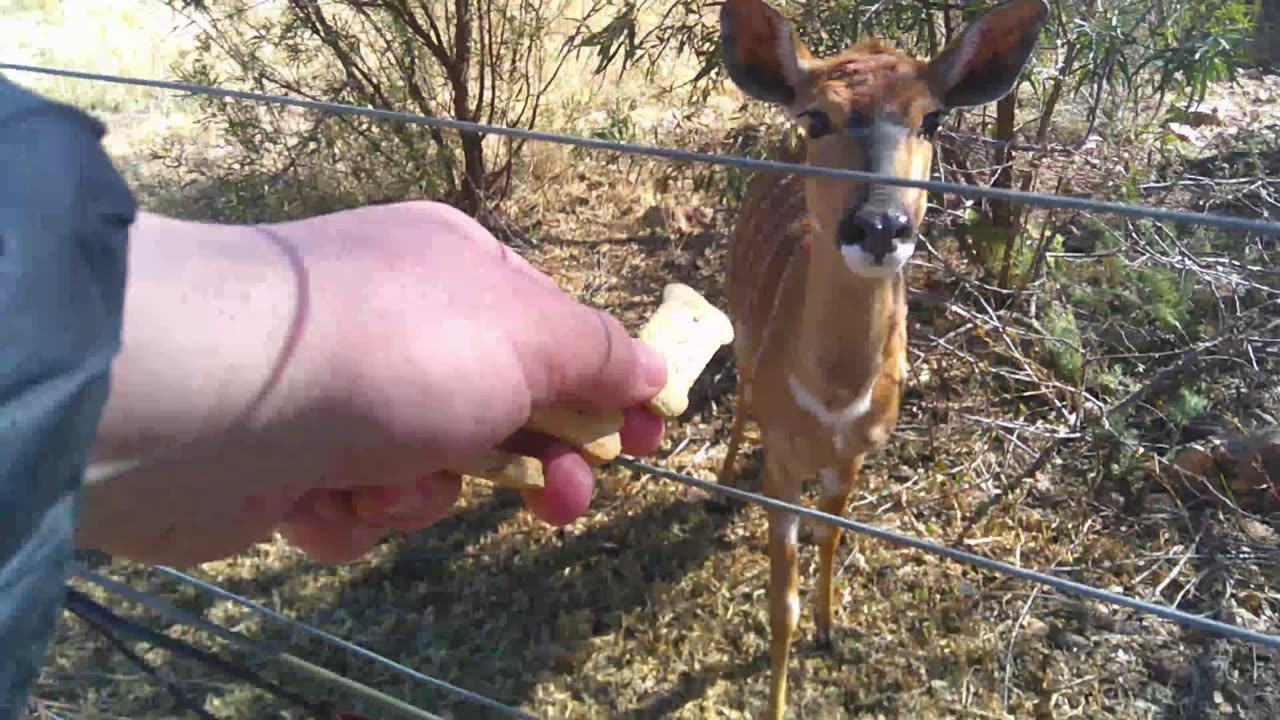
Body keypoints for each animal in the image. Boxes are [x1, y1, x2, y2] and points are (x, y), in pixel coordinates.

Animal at [716, 2, 1044, 712]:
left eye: (933, 118)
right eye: (817, 116)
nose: (880, 226)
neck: (837, 397)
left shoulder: (855, 457)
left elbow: (835, 537)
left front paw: (829, 628)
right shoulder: (783, 465)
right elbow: (778, 604)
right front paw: (777, 698)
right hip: (741, 328)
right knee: (742, 398)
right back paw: (723, 486)